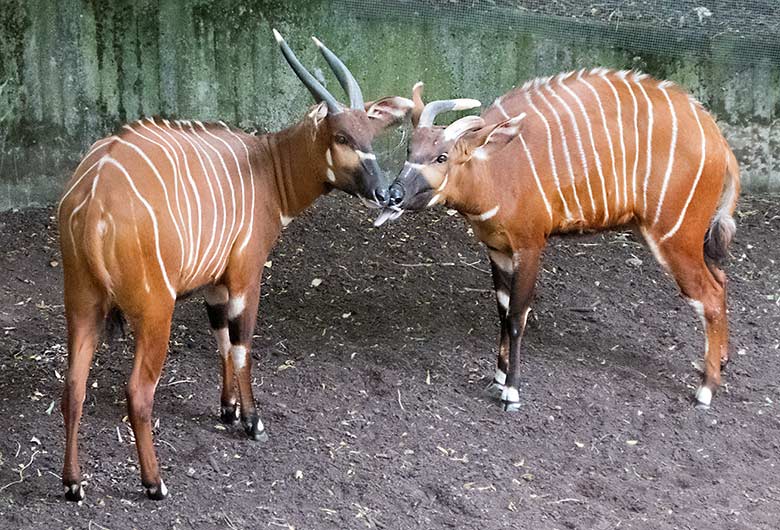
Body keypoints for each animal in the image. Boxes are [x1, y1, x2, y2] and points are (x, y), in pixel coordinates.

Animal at [56, 29, 414, 500]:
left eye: (369, 132)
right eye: (340, 137)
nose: (384, 193)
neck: (267, 169)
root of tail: (93, 198)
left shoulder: (215, 284)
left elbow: (222, 339)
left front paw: (226, 410)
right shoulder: (246, 276)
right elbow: (242, 344)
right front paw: (252, 421)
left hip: (82, 306)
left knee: (73, 389)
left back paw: (73, 484)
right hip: (154, 311)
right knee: (138, 393)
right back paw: (154, 484)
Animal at [380, 68, 740, 410]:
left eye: (441, 157)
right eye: (411, 149)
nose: (392, 195)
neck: (495, 170)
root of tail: (719, 142)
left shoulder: (529, 245)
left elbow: (517, 316)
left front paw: (511, 393)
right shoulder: (497, 249)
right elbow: (502, 310)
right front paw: (497, 378)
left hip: (674, 235)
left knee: (708, 296)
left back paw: (706, 390)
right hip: (675, 235)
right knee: (720, 279)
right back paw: (722, 362)